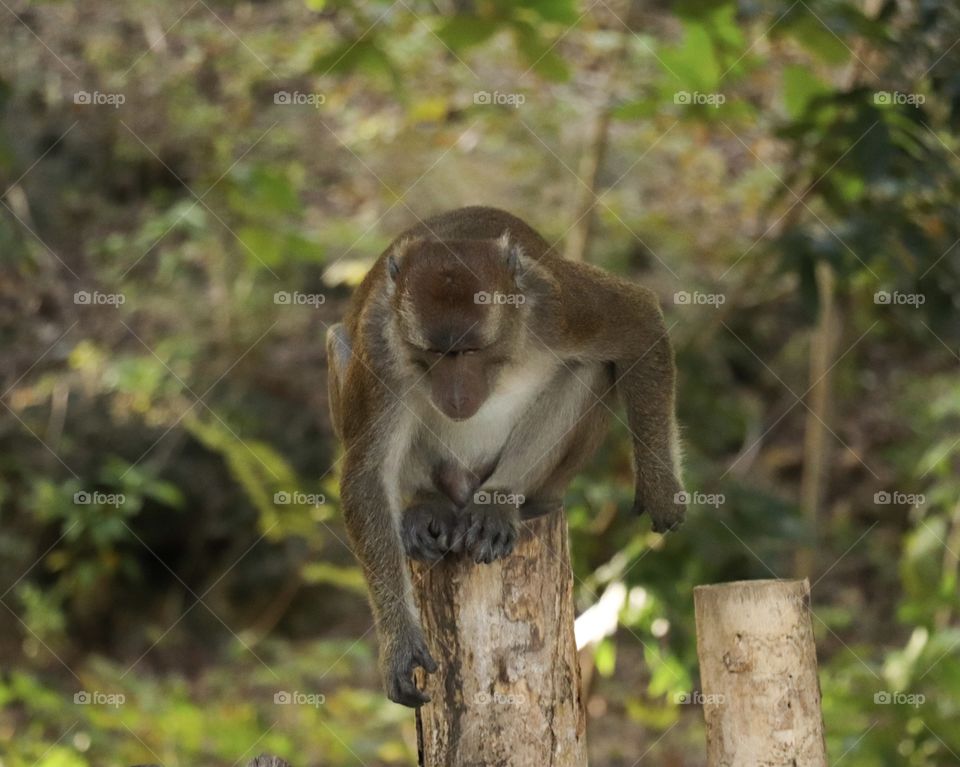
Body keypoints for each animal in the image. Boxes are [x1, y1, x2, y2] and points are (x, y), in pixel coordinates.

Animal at [326, 206, 684, 707]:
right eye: (434, 353)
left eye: (470, 350)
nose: (456, 398)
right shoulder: (381, 342)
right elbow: (365, 473)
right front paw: (399, 642)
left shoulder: (554, 306)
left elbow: (639, 321)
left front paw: (660, 487)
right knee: (340, 342)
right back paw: (427, 504)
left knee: (590, 367)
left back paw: (500, 501)